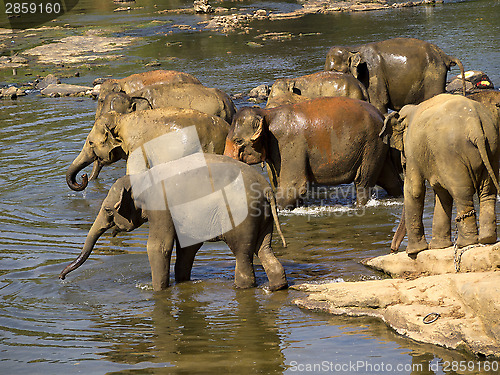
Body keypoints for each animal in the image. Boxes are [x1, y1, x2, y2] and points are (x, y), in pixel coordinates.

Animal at [61, 154, 290, 292]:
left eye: (108, 210)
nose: (62, 278)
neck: (141, 177)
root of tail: (266, 189)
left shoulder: (161, 207)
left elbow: (158, 247)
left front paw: (156, 290)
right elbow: (187, 247)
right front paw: (181, 281)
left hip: (242, 216)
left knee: (242, 254)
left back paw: (241, 287)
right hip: (263, 217)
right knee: (264, 250)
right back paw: (274, 288)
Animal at [223, 96, 402, 209]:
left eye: (238, 141)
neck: (267, 114)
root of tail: (382, 116)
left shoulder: (290, 144)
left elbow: (293, 187)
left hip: (370, 144)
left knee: (363, 181)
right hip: (377, 147)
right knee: (390, 179)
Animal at [324, 37, 464, 114]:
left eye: (335, 70)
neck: (351, 48)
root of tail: (445, 55)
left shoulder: (373, 74)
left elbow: (378, 104)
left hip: (434, 73)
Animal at [382, 93, 500, 256]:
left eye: (404, 164)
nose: (393, 250)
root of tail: (475, 124)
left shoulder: (413, 148)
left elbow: (415, 190)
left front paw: (413, 252)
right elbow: (441, 191)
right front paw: (438, 247)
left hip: (452, 153)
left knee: (461, 193)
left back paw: (465, 243)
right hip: (492, 146)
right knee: (487, 192)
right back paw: (487, 239)